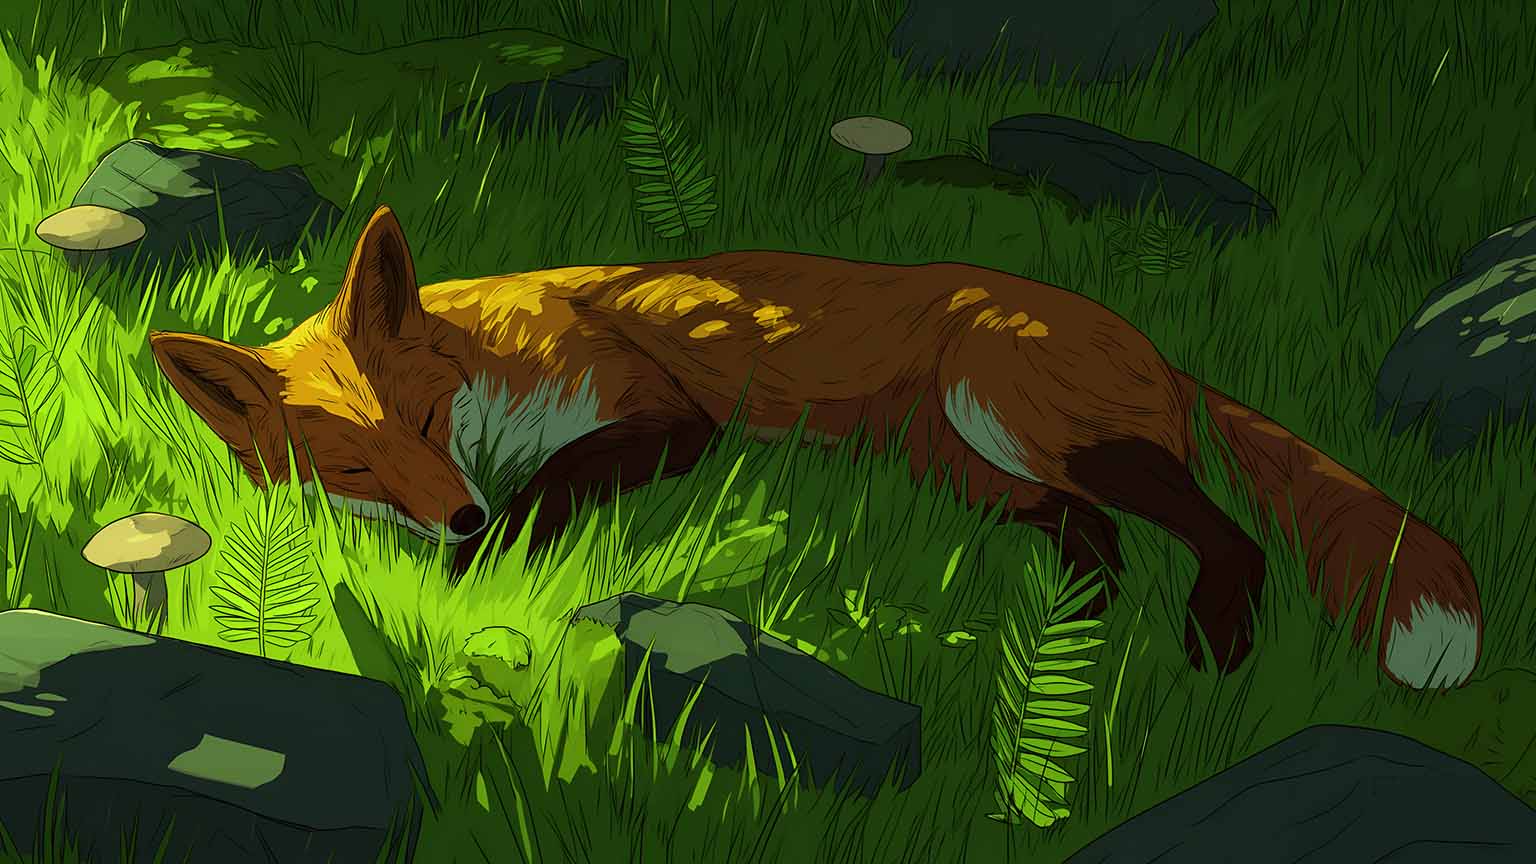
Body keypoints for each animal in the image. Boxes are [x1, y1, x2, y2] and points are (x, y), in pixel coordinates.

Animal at [148, 205, 1482, 689]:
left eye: (425, 421)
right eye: (351, 469)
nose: (456, 515)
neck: (499, 356)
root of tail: (1151, 341)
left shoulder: (664, 415)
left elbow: (557, 485)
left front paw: (487, 565)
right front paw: (461, 570)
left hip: (1017, 419)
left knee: (1227, 536)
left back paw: (1211, 648)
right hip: (981, 471)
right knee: (1097, 540)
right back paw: (1068, 634)